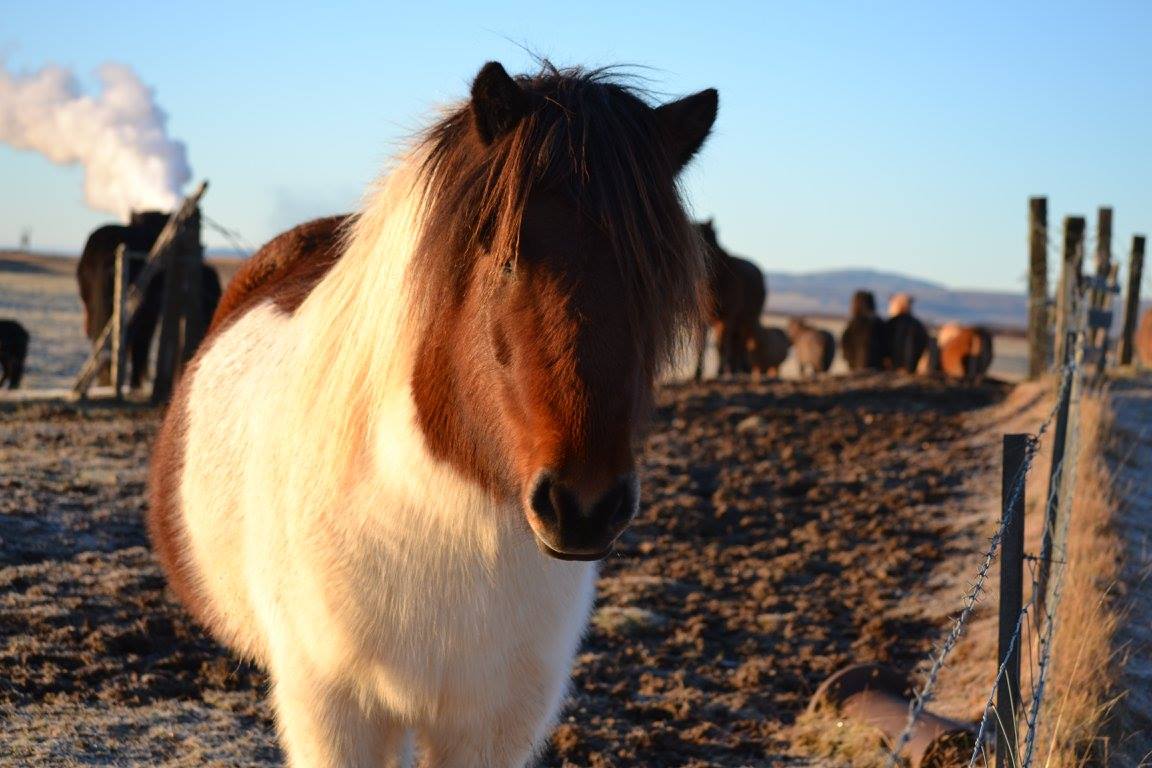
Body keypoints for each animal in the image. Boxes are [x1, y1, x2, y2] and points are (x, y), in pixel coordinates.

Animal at [148, 61, 714, 768]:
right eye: (506, 257)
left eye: (654, 280)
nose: (584, 507)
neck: (432, 522)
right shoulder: (335, 714)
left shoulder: (491, 725)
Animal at [691, 218, 764, 377]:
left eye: (709, 240)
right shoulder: (703, 319)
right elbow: (701, 345)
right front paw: (697, 373)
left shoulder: (726, 318)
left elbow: (721, 345)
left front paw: (719, 371)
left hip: (747, 320)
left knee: (741, 343)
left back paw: (740, 368)